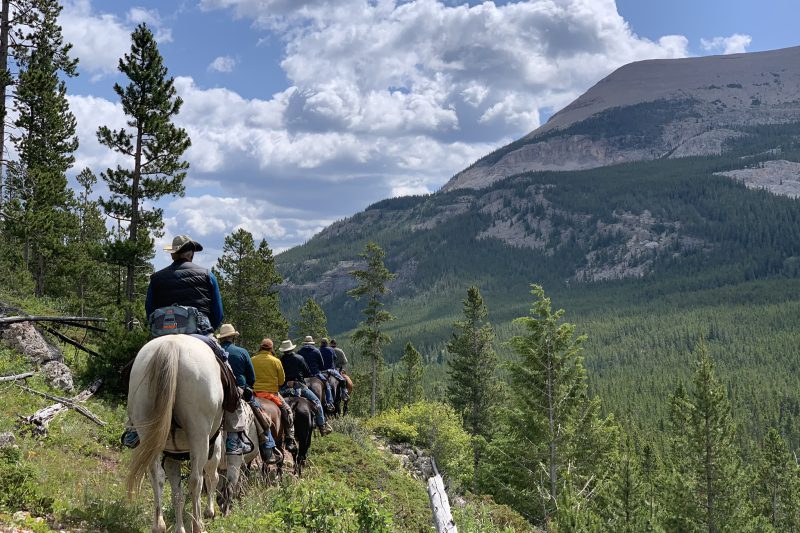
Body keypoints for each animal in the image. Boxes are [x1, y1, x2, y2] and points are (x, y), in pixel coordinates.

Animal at [127, 334, 225, 528]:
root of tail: (171, 345)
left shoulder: (172, 456)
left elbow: (176, 494)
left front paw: (180, 528)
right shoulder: (215, 446)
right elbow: (212, 476)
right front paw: (209, 511)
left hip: (147, 431)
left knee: (156, 476)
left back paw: (159, 526)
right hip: (199, 435)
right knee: (196, 480)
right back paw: (198, 525)